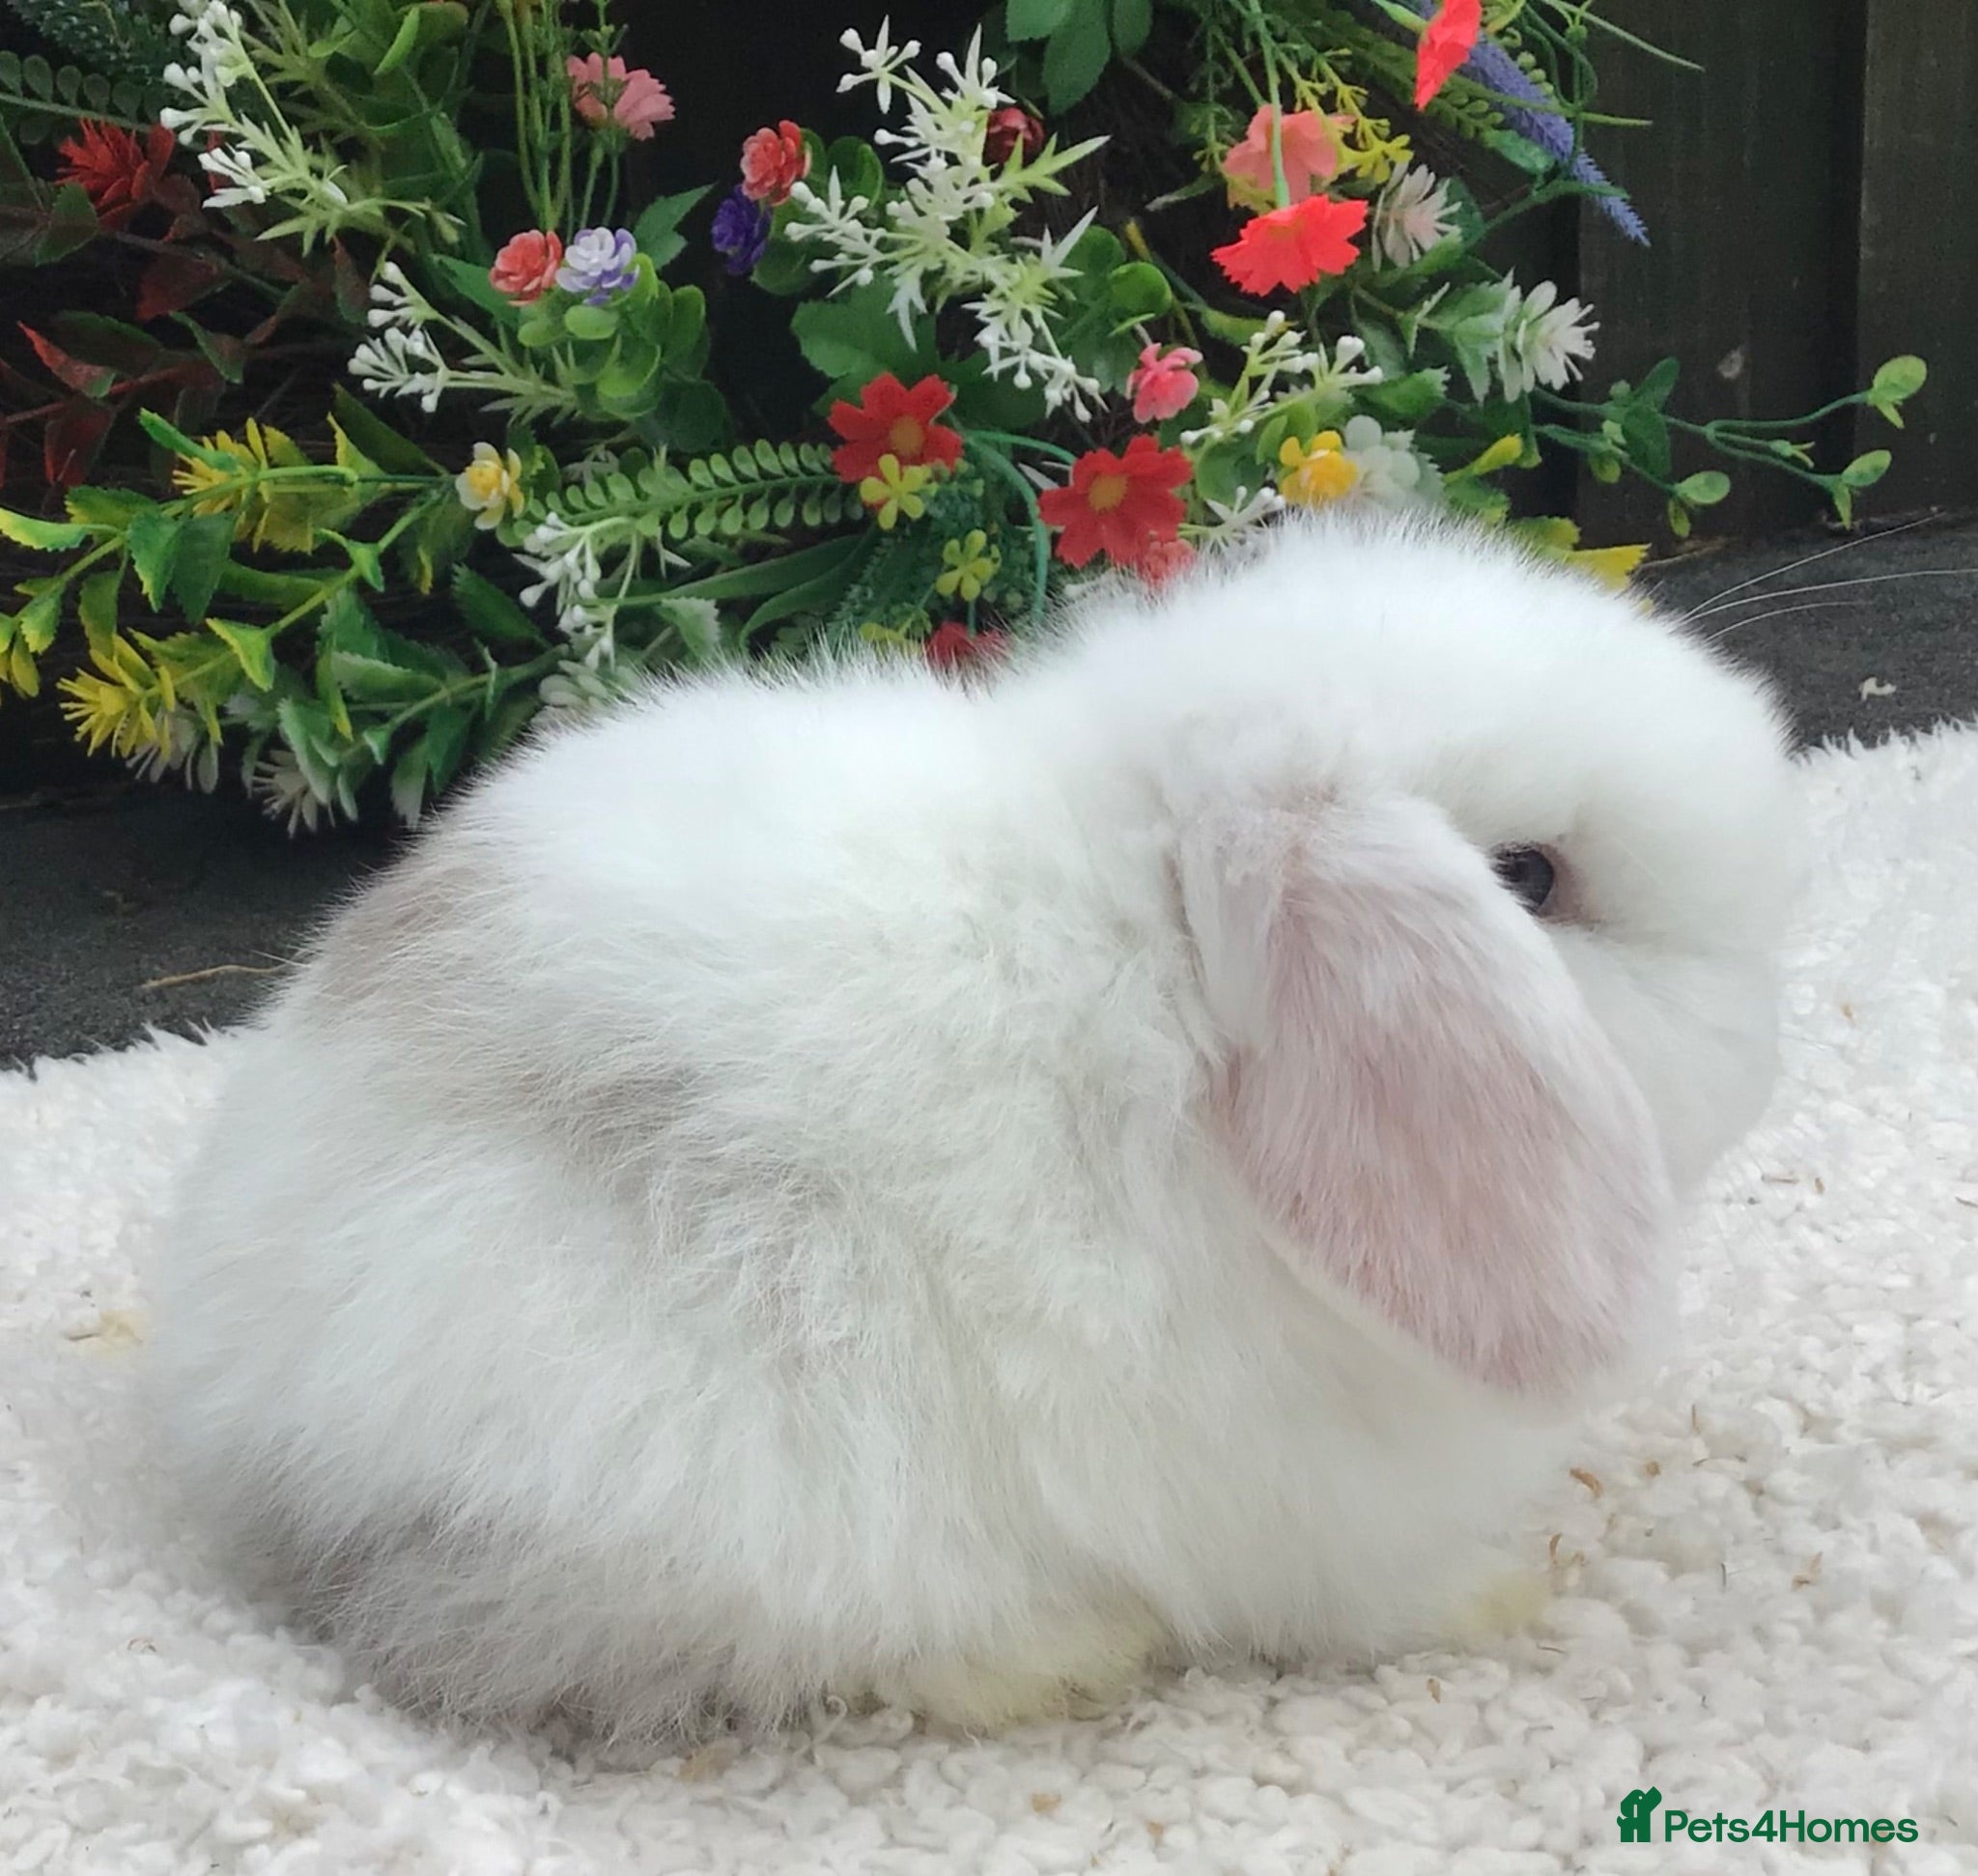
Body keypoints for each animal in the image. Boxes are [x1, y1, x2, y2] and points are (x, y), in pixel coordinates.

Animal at [145, 508, 1801, 1740]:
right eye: (1529, 879)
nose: (1771, 1009)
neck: (1159, 975)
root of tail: (238, 1417)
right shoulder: (1310, 1498)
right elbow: (1365, 1594)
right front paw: (1510, 1592)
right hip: (725, 1473)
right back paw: (1064, 1652)